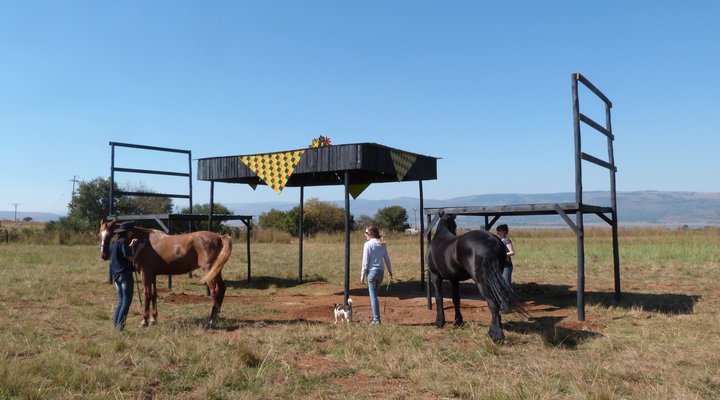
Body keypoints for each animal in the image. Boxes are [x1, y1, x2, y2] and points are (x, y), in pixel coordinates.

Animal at [99, 219, 233, 327]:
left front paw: (144, 321)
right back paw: (217, 316)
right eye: (100, 234)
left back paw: (211, 320)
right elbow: (154, 294)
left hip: (209, 270)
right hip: (216, 270)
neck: (143, 242)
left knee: (215, 292)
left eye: (110, 234)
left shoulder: (145, 274)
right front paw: (153, 319)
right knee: (222, 288)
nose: (104, 255)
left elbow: (147, 295)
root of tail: (220, 237)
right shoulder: (152, 275)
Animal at [426, 213, 526, 342]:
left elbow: (439, 298)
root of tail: (491, 240)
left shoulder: (435, 276)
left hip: (483, 281)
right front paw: (458, 322)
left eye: (454, 225)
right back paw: (493, 332)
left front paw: (439, 322)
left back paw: (496, 336)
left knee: (493, 304)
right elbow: (456, 299)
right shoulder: (454, 279)